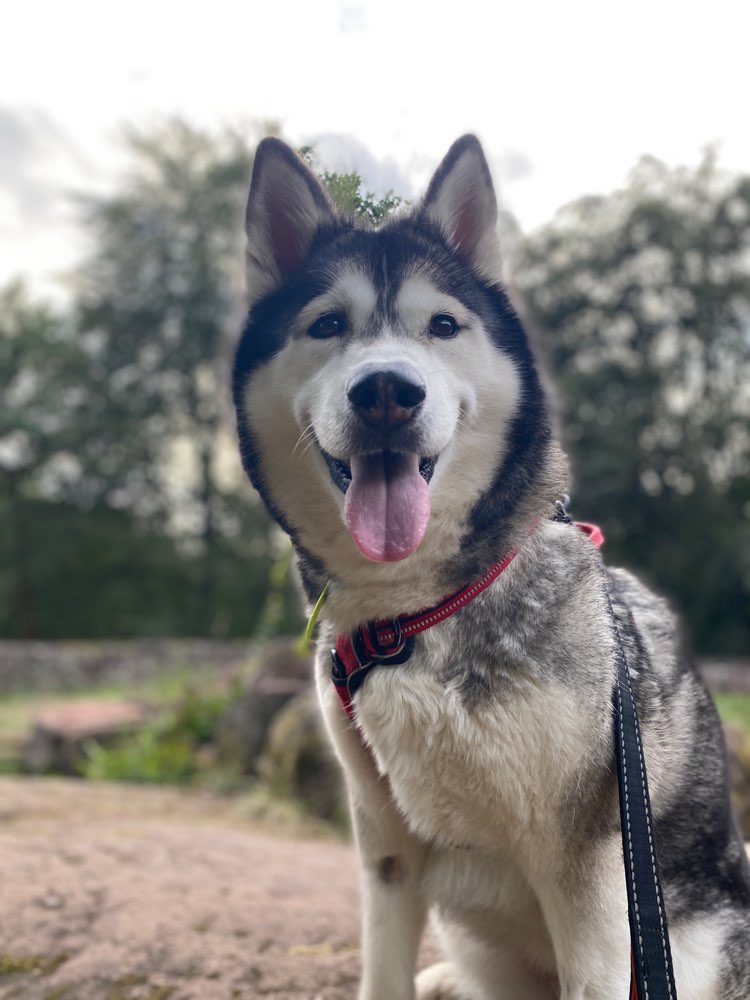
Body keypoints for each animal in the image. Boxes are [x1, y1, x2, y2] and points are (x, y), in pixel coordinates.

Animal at [235, 135, 750, 1000]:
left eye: (442, 325)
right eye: (327, 324)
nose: (386, 390)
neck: (414, 613)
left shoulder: (590, 877)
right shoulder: (385, 847)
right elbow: (381, 972)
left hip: (690, 939)